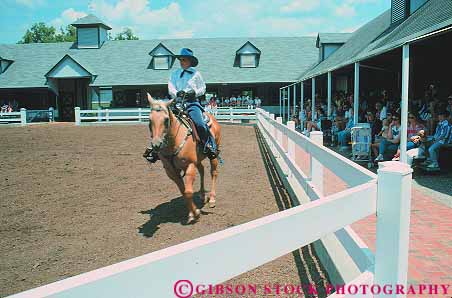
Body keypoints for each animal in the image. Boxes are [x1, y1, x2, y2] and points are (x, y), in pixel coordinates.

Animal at [147, 93, 221, 224]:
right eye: (149, 120)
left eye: (166, 119)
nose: (156, 144)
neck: (173, 143)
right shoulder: (171, 171)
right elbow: (183, 191)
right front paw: (192, 212)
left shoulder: (189, 165)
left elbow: (188, 191)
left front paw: (196, 213)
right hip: (198, 159)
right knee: (202, 170)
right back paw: (202, 195)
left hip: (213, 155)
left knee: (213, 173)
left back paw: (212, 199)